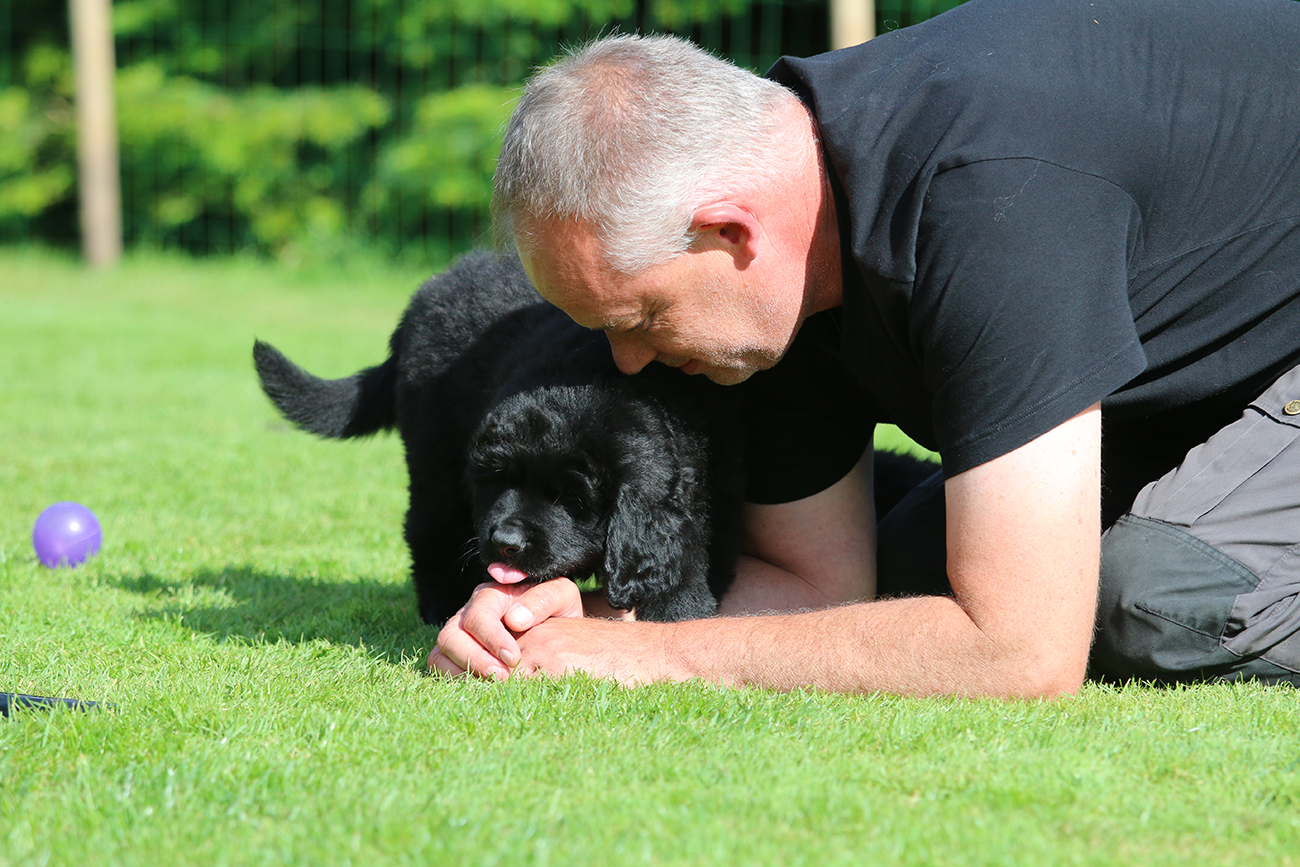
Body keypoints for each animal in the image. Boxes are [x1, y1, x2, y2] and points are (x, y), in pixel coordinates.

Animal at [254, 250, 745, 624]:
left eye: (571, 498)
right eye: (497, 478)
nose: (506, 542)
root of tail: (425, 296)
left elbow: (682, 557)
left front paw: (680, 613)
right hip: (434, 459)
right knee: (431, 529)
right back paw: (441, 608)